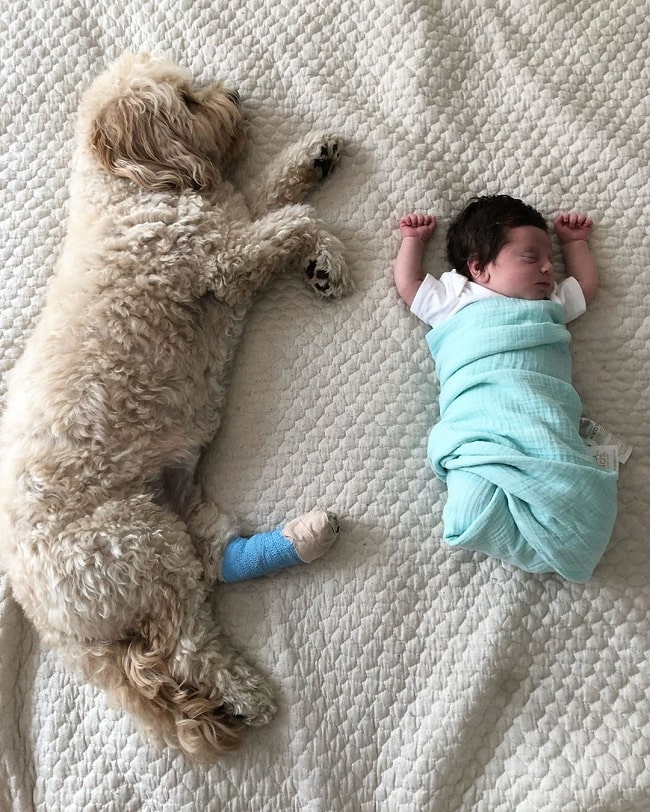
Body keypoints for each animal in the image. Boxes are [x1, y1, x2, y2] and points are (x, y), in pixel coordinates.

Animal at [0, 54, 350, 764]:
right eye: (187, 100)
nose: (237, 95)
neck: (135, 189)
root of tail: (48, 616)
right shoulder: (223, 258)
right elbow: (295, 221)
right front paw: (326, 258)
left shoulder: (232, 216)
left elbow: (272, 190)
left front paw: (312, 156)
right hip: (137, 545)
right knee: (189, 643)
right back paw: (246, 690)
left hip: (178, 518)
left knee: (221, 563)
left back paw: (304, 538)